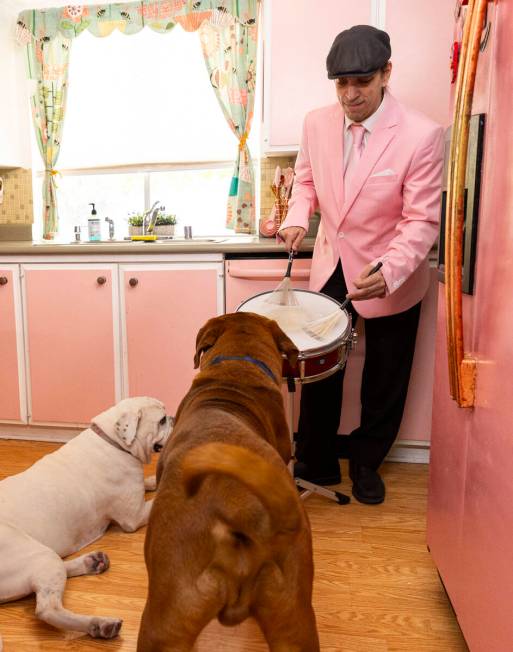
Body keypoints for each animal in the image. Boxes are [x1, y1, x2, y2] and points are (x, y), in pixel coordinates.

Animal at [0, 394, 172, 648]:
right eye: (161, 420)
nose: (173, 416)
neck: (113, 440)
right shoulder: (135, 515)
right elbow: (158, 499)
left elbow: (152, 484)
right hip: (37, 554)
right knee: (47, 609)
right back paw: (100, 625)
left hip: (40, 558)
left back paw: (92, 562)